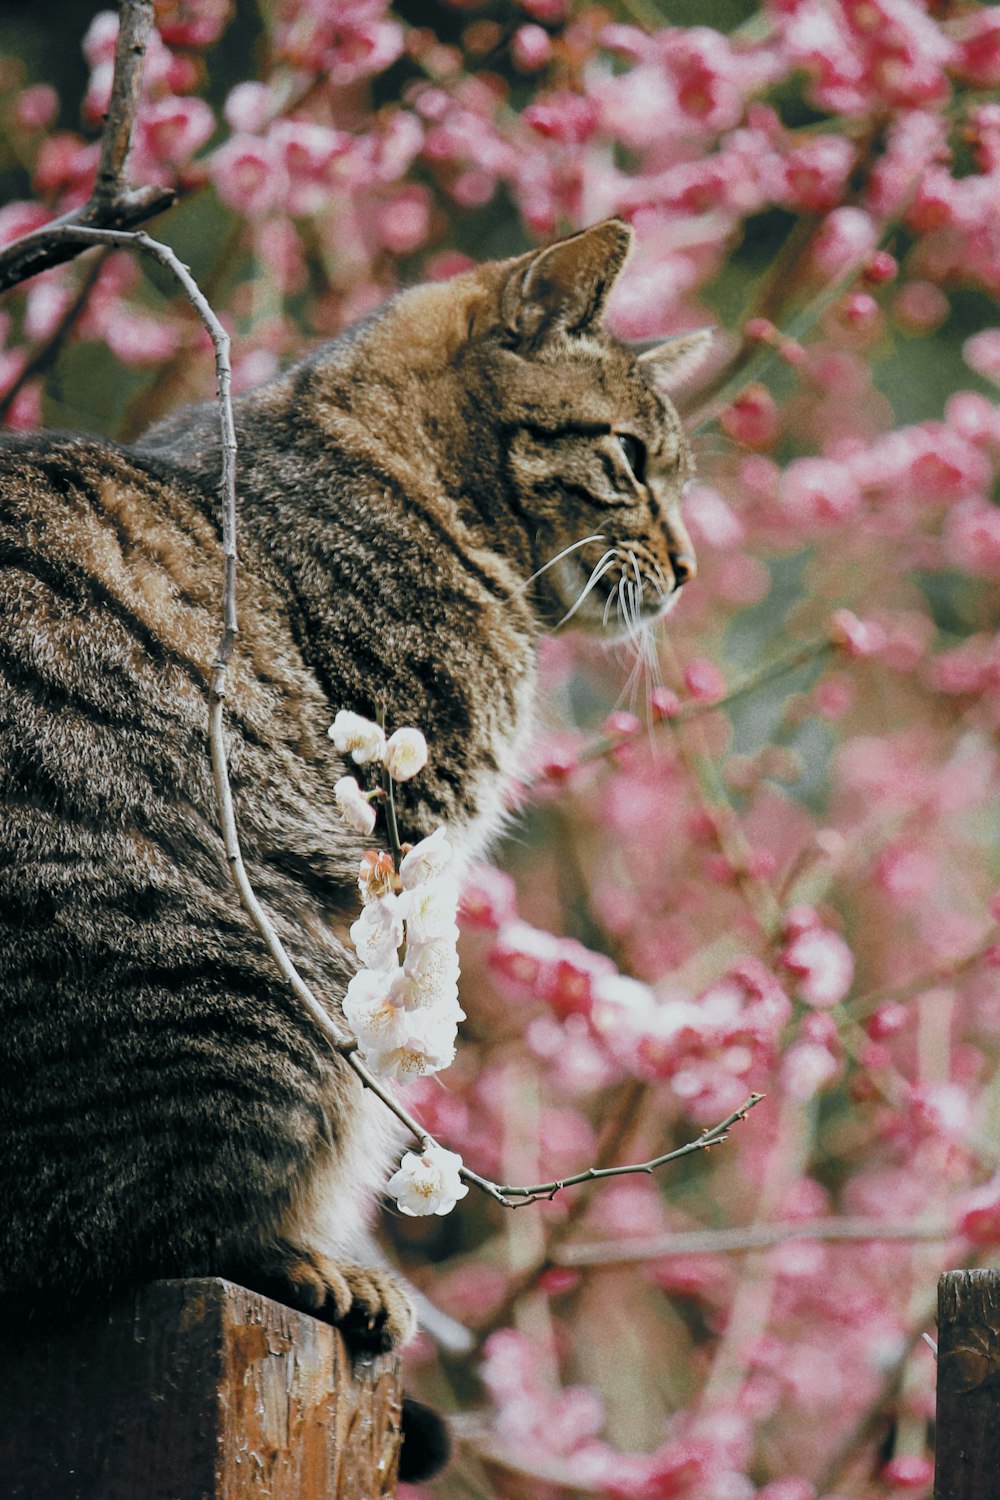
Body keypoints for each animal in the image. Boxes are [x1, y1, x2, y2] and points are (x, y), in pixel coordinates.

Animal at [0, 217, 704, 1410]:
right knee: (128, 1233)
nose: (691, 567)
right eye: (631, 458)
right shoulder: (403, 837)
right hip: (260, 979)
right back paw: (312, 1264)